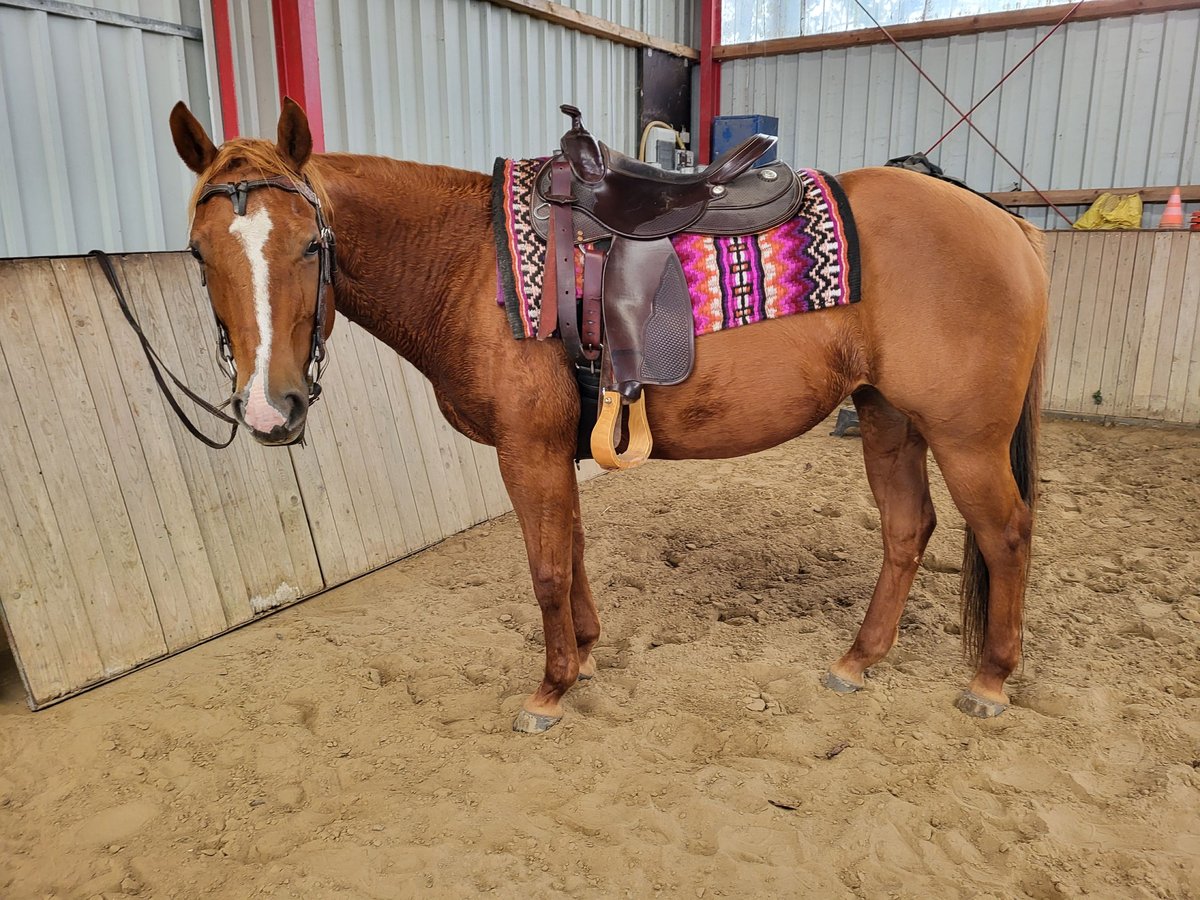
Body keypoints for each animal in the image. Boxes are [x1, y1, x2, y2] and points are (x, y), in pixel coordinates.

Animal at [169, 98, 1048, 734]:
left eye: (311, 246)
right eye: (199, 254)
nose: (268, 408)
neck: (473, 262)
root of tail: (1007, 223)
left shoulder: (526, 449)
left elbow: (546, 568)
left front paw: (550, 690)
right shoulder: (557, 447)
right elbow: (575, 553)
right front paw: (585, 657)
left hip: (965, 438)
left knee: (1006, 534)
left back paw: (991, 679)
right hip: (887, 418)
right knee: (907, 529)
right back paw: (858, 660)